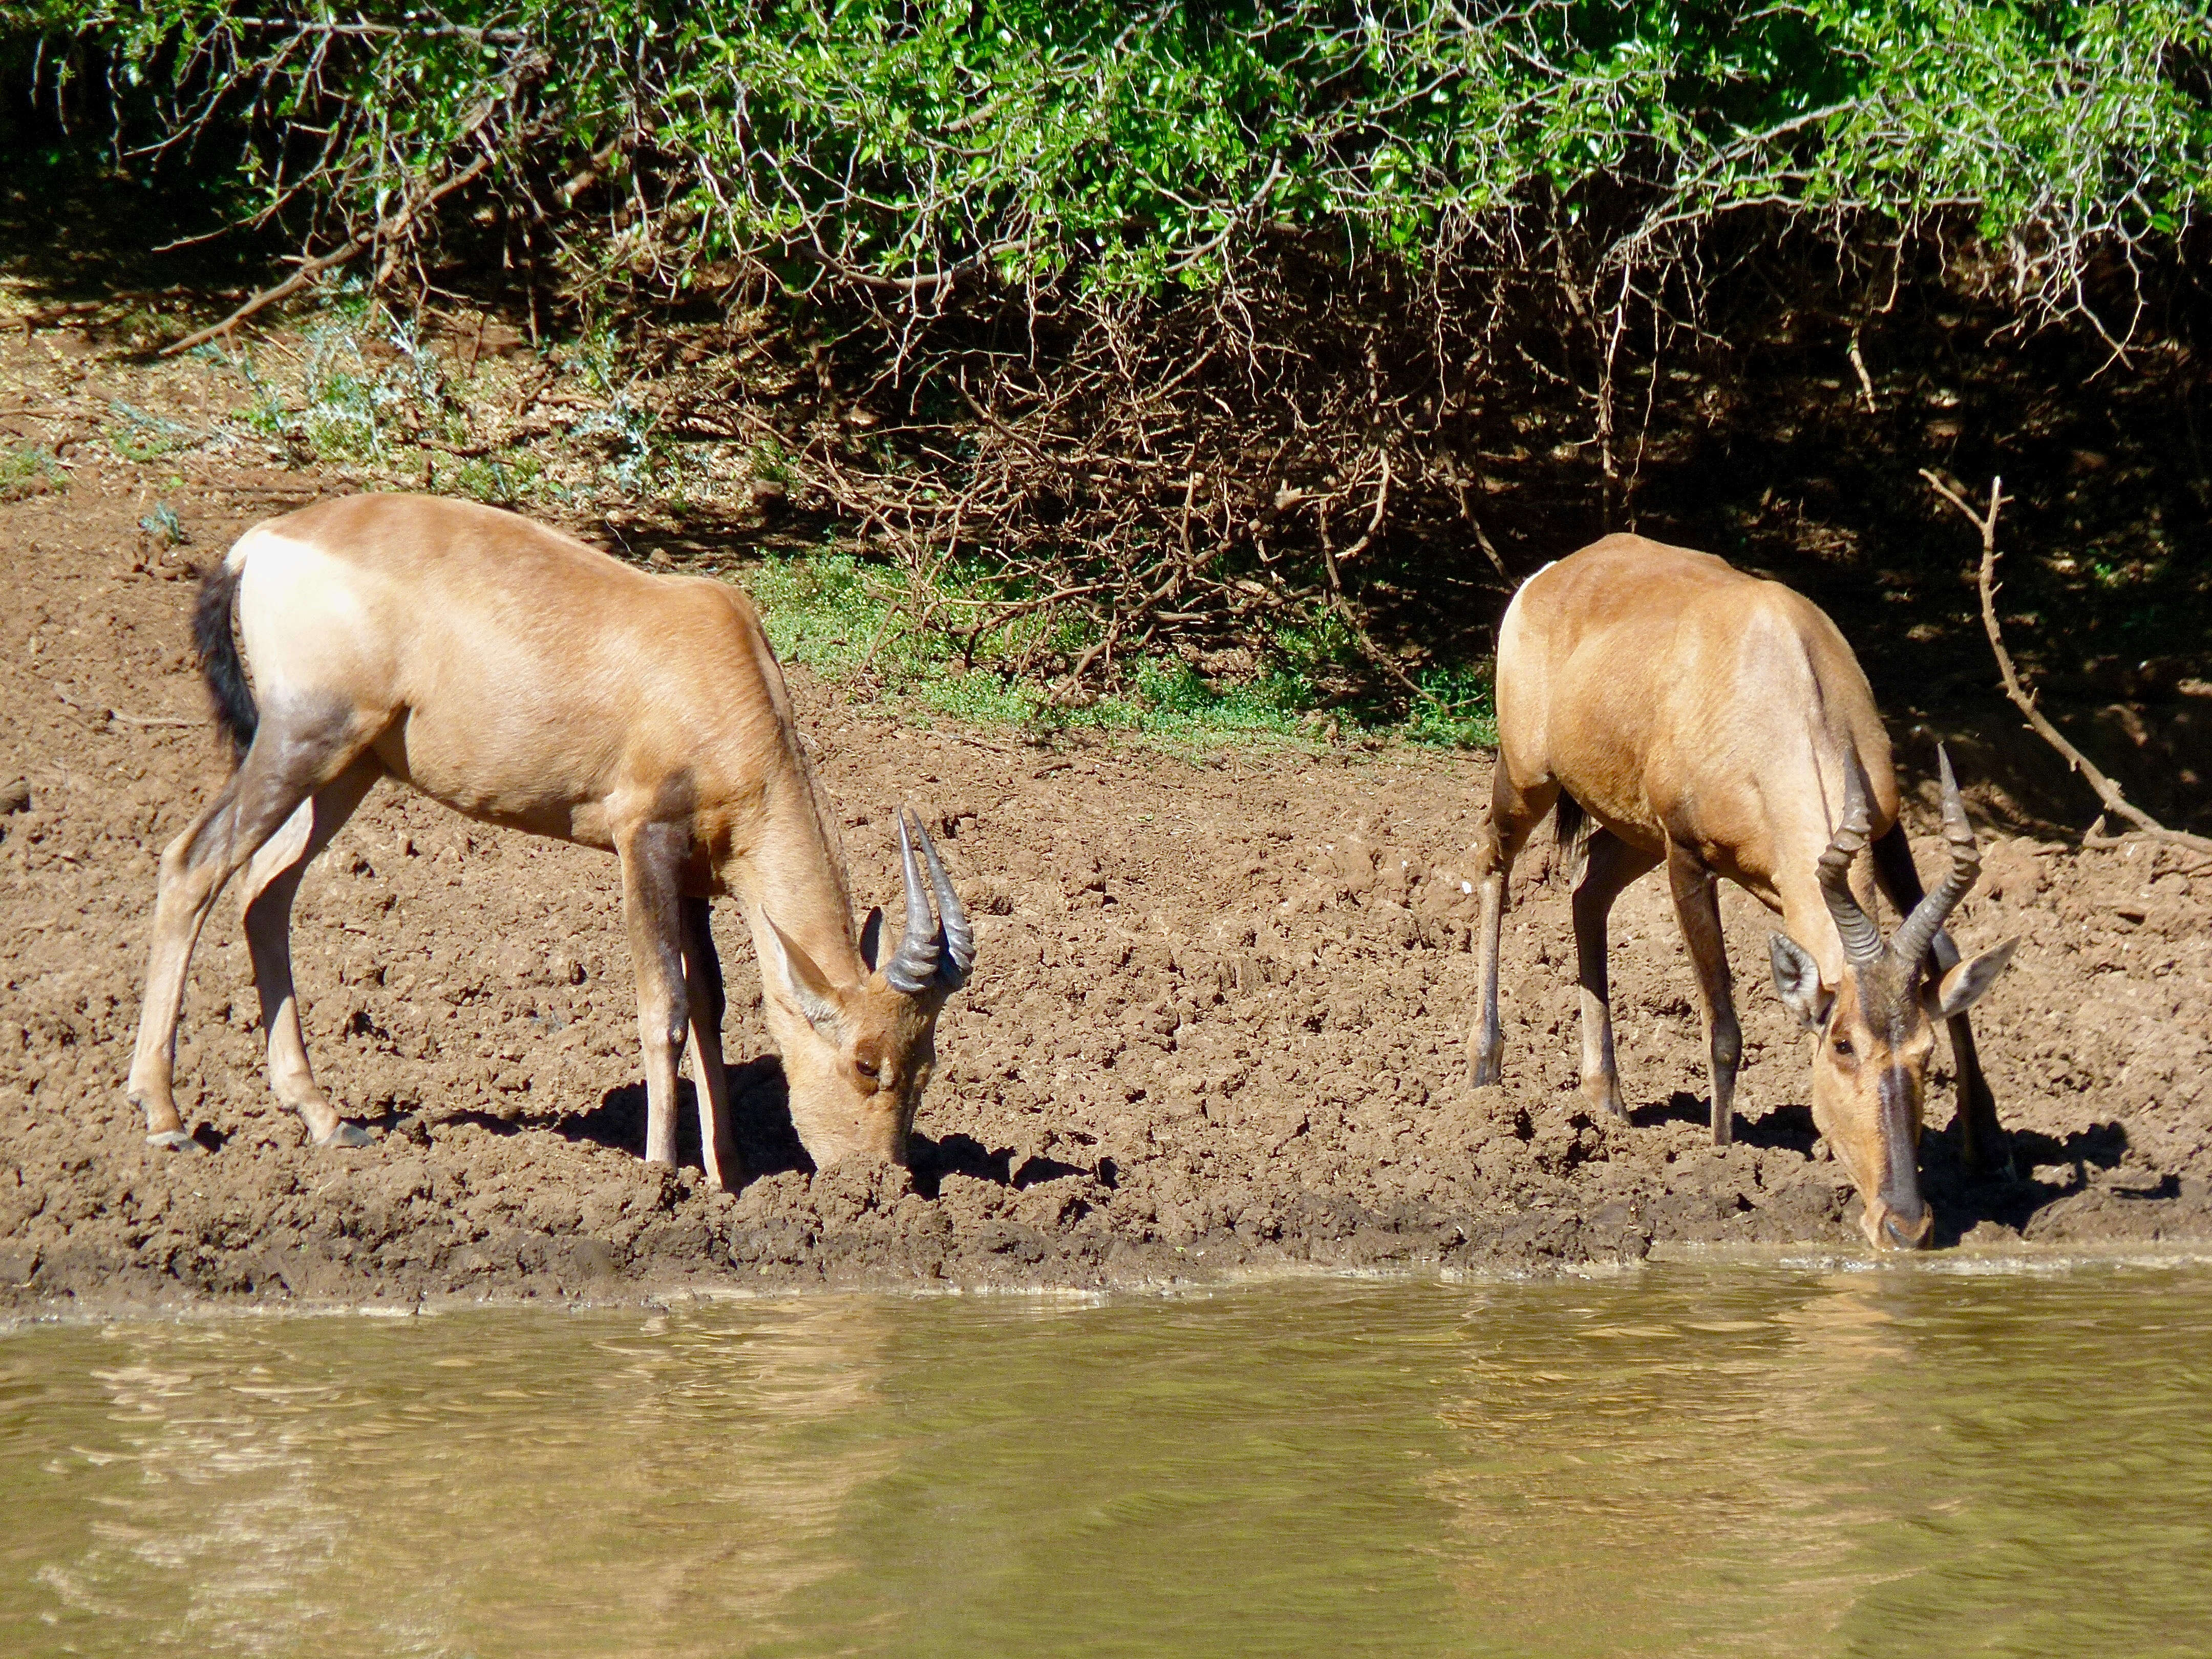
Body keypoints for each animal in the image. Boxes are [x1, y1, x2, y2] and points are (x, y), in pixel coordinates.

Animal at [125, 491, 973, 1185]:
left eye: (928, 1063)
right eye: (867, 1063)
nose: (881, 1182)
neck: (717, 656)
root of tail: (263, 541)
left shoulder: (696, 874)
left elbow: (711, 1007)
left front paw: (726, 1177)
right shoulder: (643, 841)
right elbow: (665, 1007)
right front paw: (661, 1175)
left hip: (349, 766)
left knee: (266, 890)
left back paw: (325, 1119)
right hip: (302, 740)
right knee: (192, 863)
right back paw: (166, 1120)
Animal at [1469, 540, 2026, 1256]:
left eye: (1923, 1052)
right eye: (1842, 1045)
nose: (1904, 1226)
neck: (1773, 669)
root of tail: (1558, 573)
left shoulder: (1885, 831)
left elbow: (1947, 953)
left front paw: (1991, 1151)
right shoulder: (1687, 857)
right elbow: (1724, 1026)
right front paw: (1722, 1156)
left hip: (1632, 830)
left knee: (1587, 890)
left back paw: (1607, 1099)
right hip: (1530, 776)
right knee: (1492, 861)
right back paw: (1485, 1069)